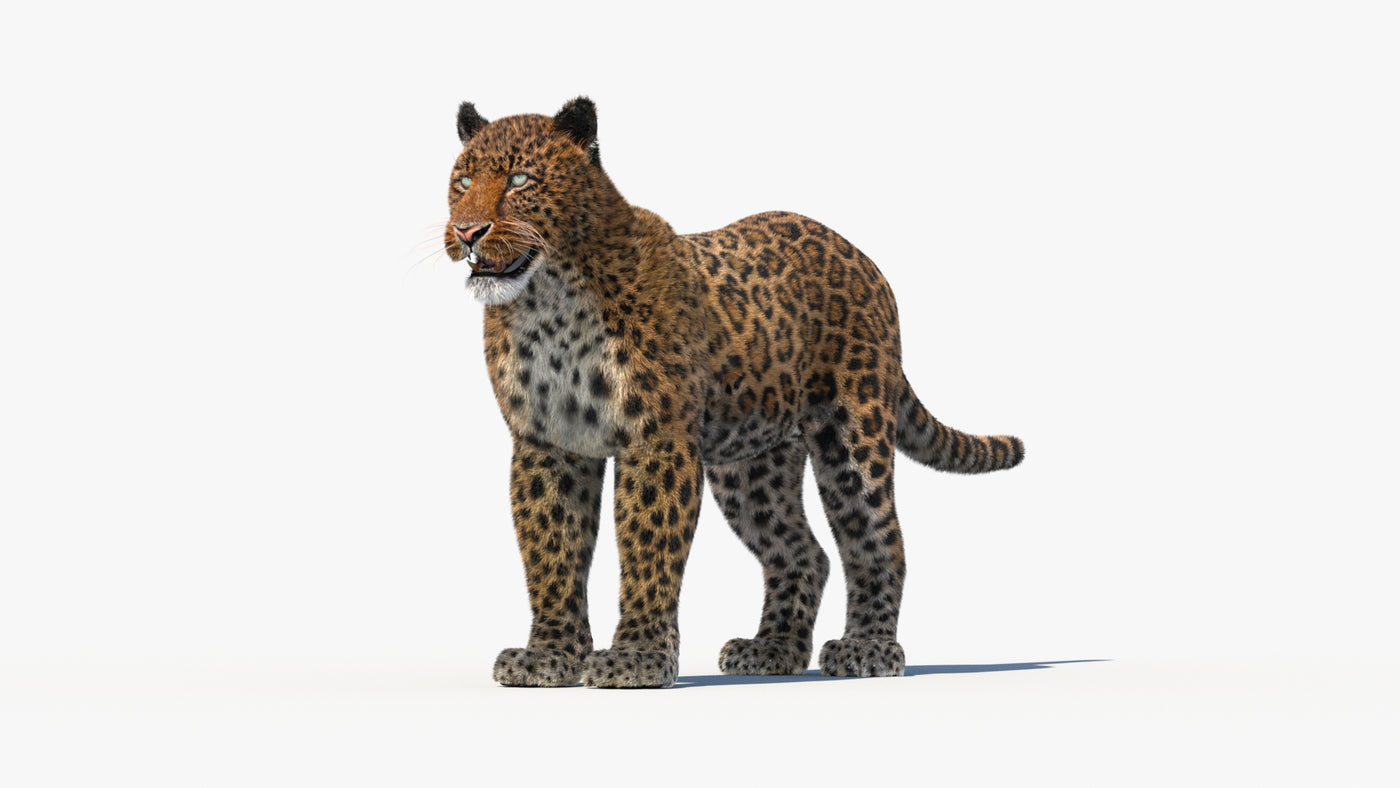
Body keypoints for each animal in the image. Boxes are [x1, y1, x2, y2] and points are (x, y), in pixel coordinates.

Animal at [444, 97, 1024, 689]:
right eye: (461, 180)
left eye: (519, 179)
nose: (466, 231)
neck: (548, 300)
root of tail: (863, 260)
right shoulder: (548, 443)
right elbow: (551, 550)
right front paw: (550, 656)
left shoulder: (656, 440)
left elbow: (648, 544)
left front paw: (637, 658)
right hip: (752, 463)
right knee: (804, 552)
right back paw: (772, 649)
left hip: (853, 433)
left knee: (877, 537)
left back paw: (869, 649)